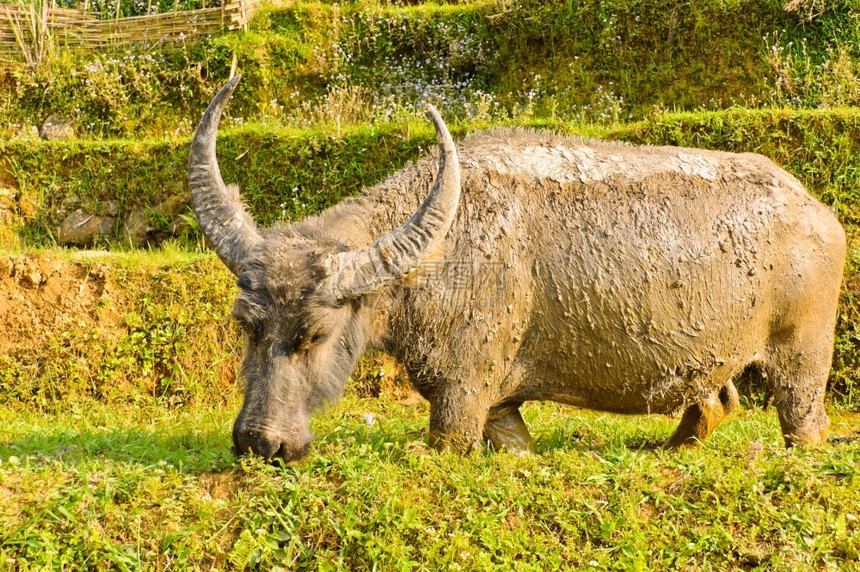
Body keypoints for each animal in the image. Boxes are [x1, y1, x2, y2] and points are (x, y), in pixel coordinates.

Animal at [191, 77, 844, 460]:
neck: (441, 257)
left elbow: (449, 442)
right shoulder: (497, 401)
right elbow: (513, 443)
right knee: (714, 402)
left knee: (803, 419)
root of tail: (817, 210)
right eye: (246, 325)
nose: (261, 442)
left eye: (316, 335)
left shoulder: (461, 391)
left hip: (802, 356)